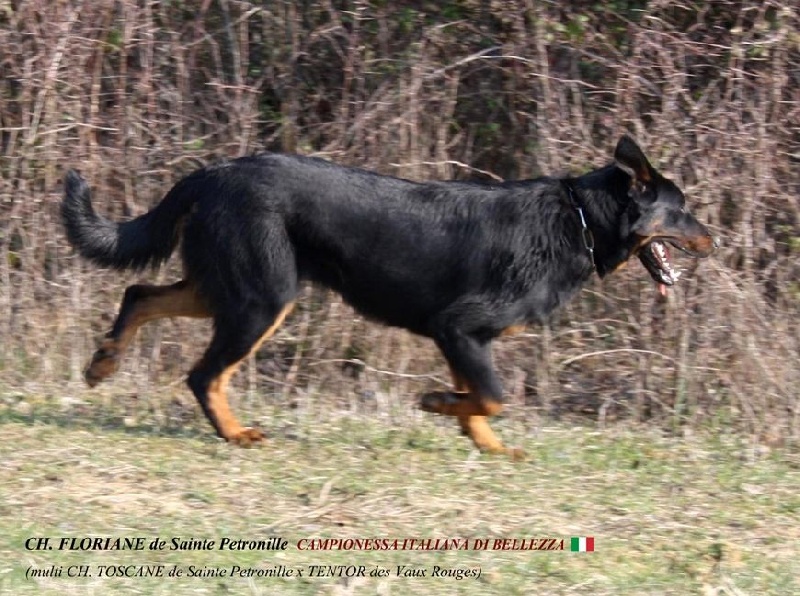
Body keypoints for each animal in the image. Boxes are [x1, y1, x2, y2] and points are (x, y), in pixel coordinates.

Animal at [61, 136, 712, 456]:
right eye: (682, 210)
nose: (715, 238)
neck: (578, 219)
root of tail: (211, 173)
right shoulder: (460, 327)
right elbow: (493, 396)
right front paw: (439, 404)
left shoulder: (461, 339)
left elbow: (482, 401)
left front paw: (485, 443)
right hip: (263, 299)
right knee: (203, 374)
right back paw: (234, 433)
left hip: (228, 287)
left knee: (140, 292)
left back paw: (104, 363)